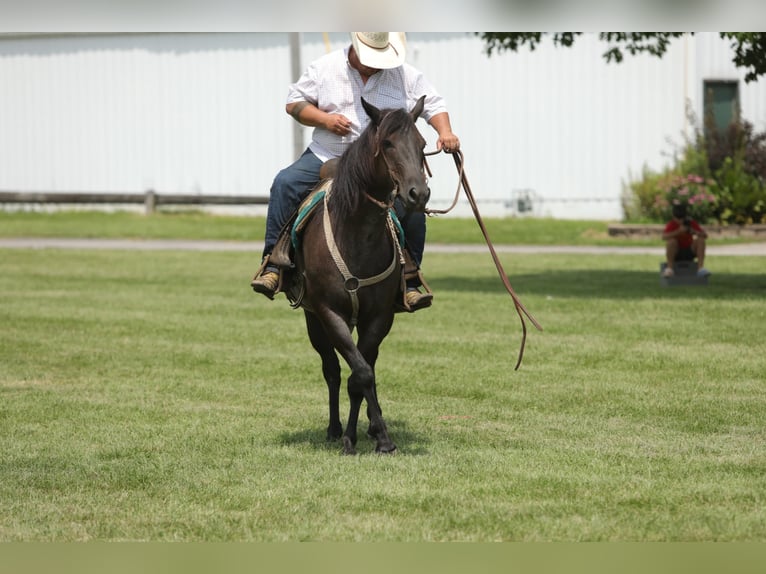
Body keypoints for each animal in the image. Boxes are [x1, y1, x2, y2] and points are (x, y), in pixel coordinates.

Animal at [292, 95, 432, 454]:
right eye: (388, 143)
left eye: (423, 144)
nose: (418, 194)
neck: (357, 235)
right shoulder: (329, 314)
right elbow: (358, 373)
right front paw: (354, 438)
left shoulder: (380, 317)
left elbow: (362, 374)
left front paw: (375, 436)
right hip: (312, 320)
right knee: (331, 370)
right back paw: (333, 428)